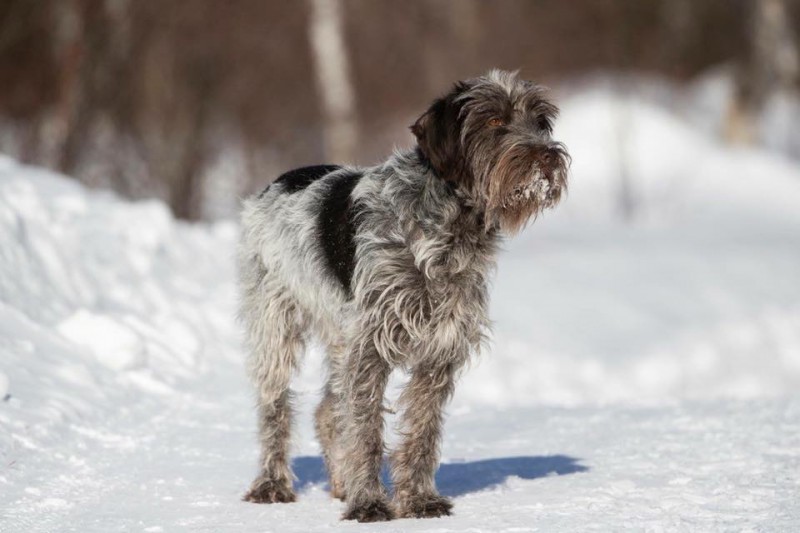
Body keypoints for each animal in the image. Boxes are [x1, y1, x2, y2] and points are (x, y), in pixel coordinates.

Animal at [238, 69, 568, 520]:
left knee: (328, 411)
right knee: (276, 408)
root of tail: (278, 181)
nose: (549, 156)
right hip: (277, 327)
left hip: (339, 336)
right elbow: (365, 432)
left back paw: (340, 482)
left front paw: (418, 500)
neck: (446, 230)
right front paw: (369, 504)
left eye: (541, 122)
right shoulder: (369, 348)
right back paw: (272, 484)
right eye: (494, 121)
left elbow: (421, 433)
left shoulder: (438, 350)